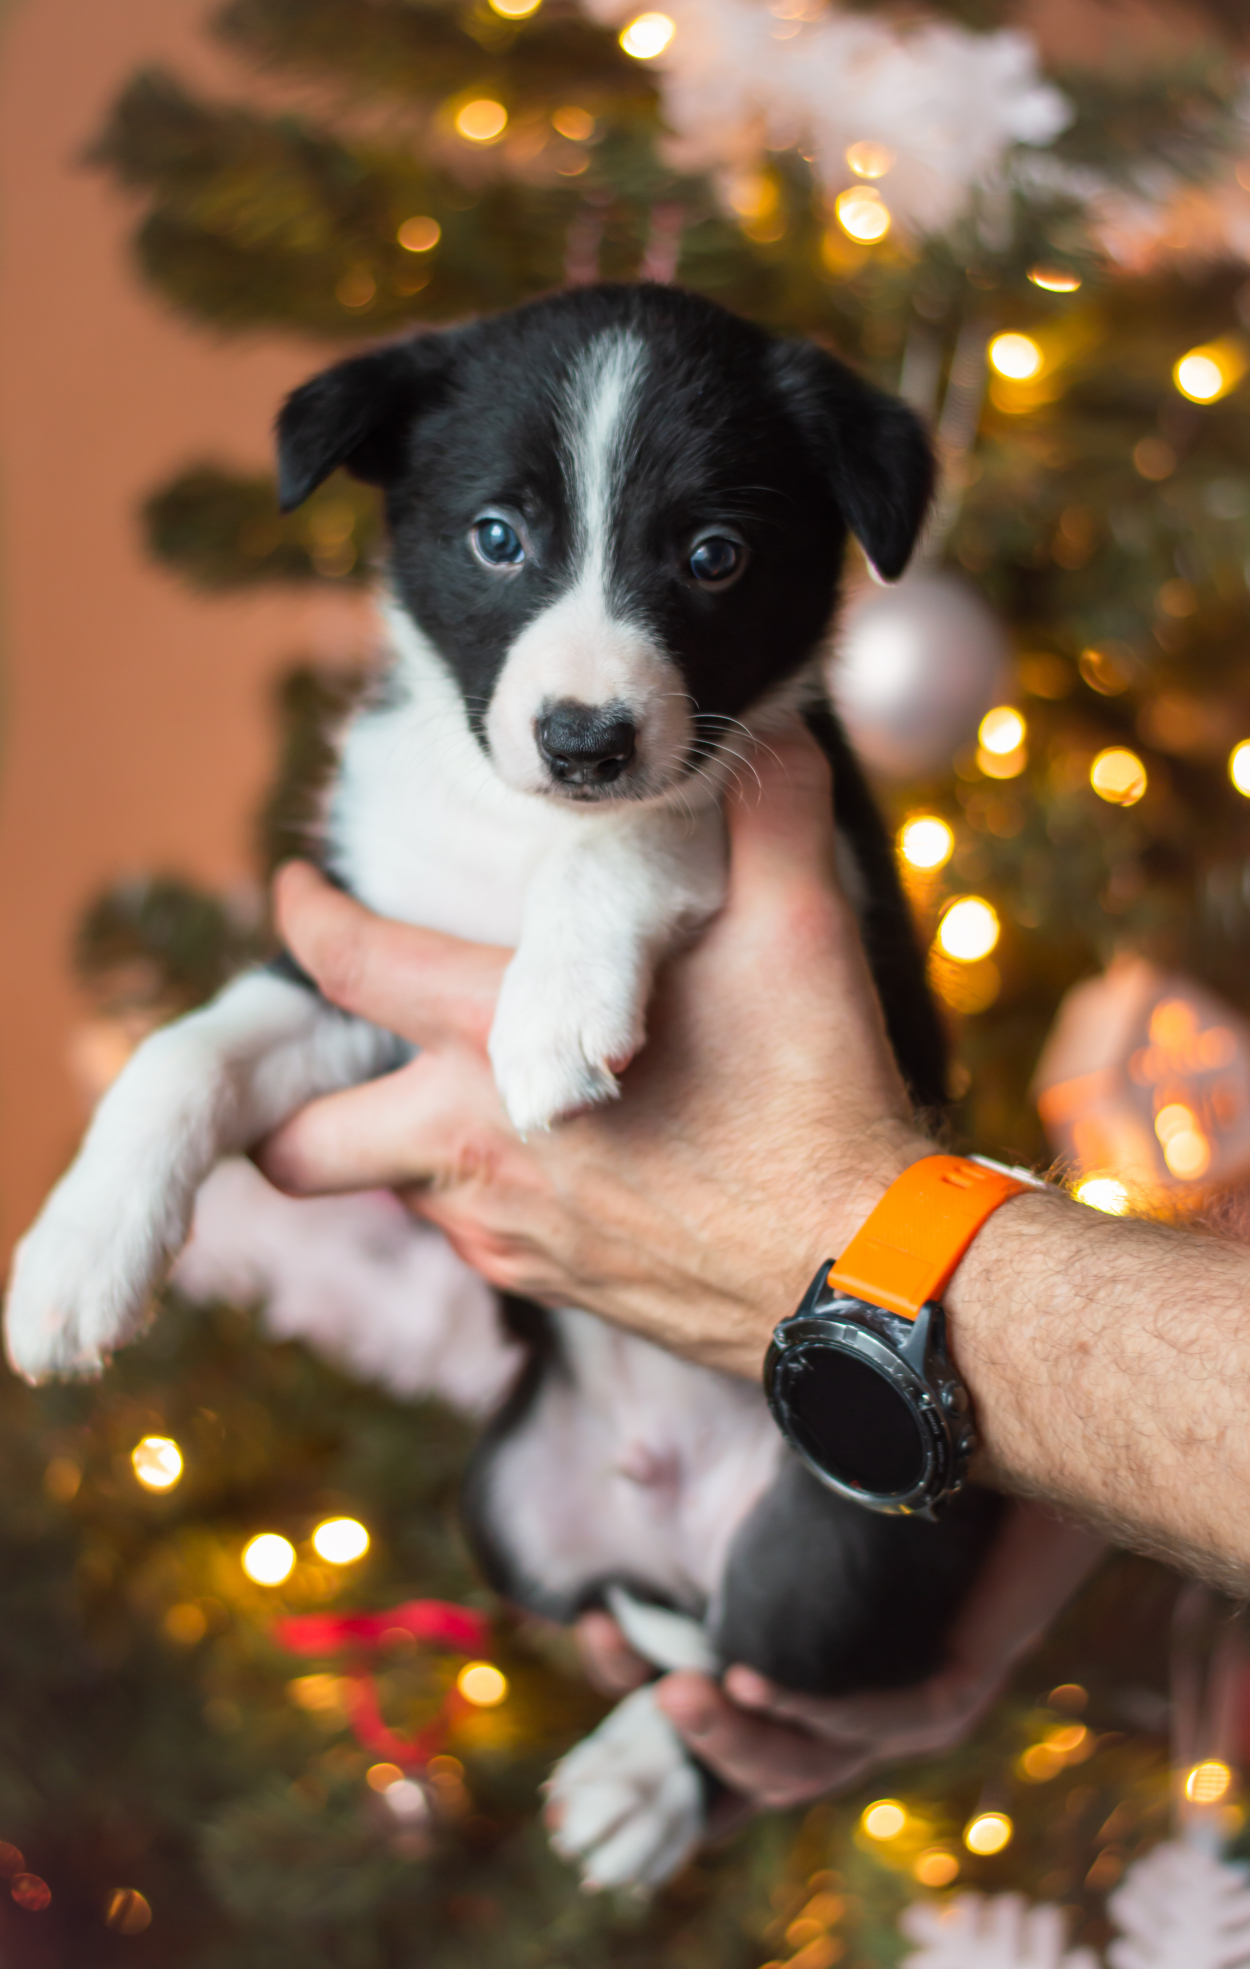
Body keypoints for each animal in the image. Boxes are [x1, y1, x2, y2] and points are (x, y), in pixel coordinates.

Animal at [5, 282, 998, 1890]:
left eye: (712, 555)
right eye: (495, 536)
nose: (584, 741)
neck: (509, 831)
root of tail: (665, 1521)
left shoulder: (826, 857)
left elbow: (670, 810)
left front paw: (554, 1001)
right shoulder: (358, 962)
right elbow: (179, 1050)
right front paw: (77, 1263)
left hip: (857, 1535)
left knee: (753, 1677)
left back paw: (642, 1783)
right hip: (503, 1507)